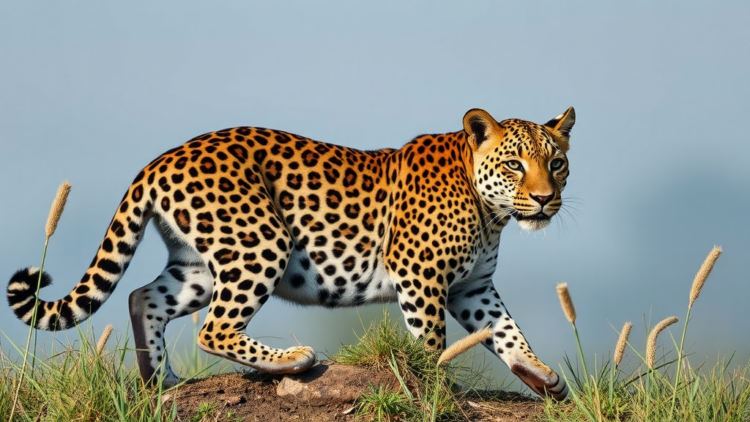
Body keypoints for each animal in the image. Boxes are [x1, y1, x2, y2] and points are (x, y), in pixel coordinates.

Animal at [7, 107, 575, 400]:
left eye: (557, 162)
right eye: (515, 165)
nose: (546, 198)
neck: (491, 213)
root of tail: (160, 159)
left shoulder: (472, 287)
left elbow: (507, 330)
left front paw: (541, 374)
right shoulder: (422, 277)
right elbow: (432, 340)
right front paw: (434, 385)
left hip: (198, 266)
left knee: (143, 297)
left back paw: (161, 381)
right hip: (260, 242)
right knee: (213, 328)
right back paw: (293, 361)